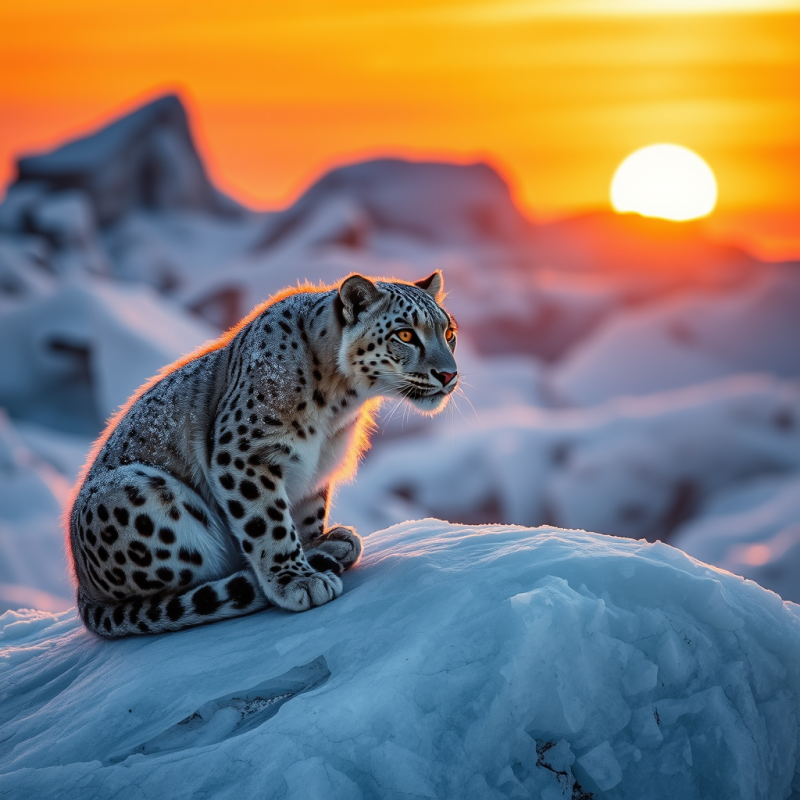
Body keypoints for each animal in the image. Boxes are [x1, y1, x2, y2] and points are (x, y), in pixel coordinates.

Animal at [67, 272, 458, 637]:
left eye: (449, 332)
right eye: (405, 335)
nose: (448, 374)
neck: (339, 405)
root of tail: (82, 588)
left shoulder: (315, 468)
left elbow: (306, 512)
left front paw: (313, 543)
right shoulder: (246, 453)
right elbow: (268, 521)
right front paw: (298, 581)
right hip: (139, 494)